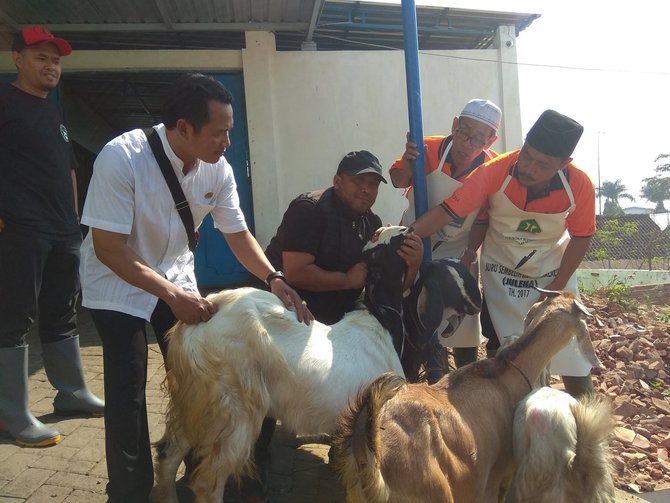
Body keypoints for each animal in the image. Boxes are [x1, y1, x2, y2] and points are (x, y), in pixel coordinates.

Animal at [151, 227, 484, 503]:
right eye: (391, 249)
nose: (408, 229)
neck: (383, 320)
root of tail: (198, 320)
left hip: (198, 400)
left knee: (167, 455)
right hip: (234, 408)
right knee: (207, 481)